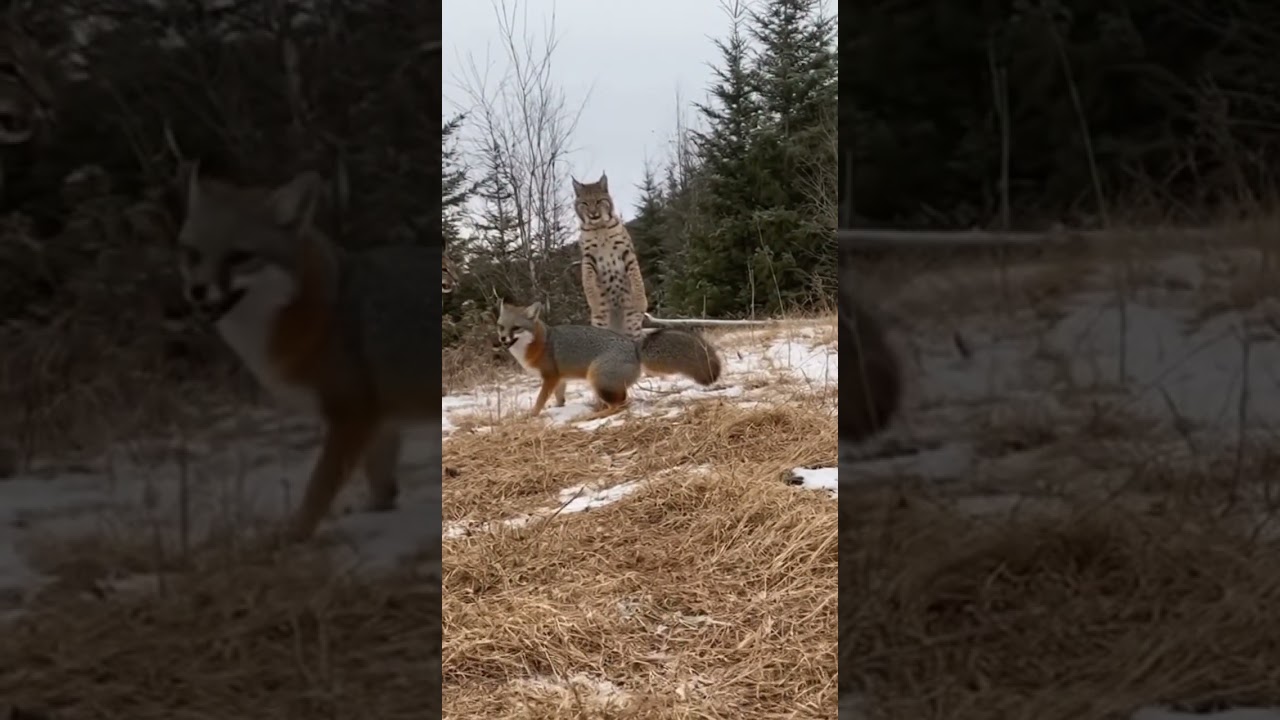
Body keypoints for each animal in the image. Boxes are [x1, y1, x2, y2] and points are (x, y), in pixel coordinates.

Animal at [176, 165, 443, 543]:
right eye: (192, 253)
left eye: (240, 257)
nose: (197, 291)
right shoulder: (380, 418)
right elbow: (381, 484)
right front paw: (377, 514)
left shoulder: (352, 415)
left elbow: (318, 488)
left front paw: (295, 533)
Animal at [496, 300, 722, 417]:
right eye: (501, 327)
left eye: (516, 328)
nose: (502, 339)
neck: (538, 343)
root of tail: (634, 346)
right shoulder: (559, 378)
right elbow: (559, 397)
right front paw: (559, 408)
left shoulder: (549, 377)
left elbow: (540, 399)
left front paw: (533, 414)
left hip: (596, 377)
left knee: (621, 403)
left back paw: (598, 414)